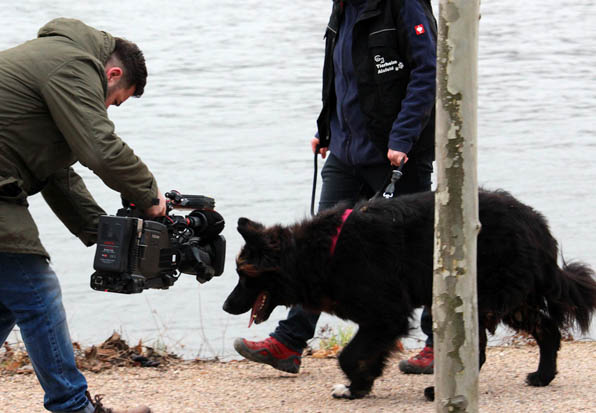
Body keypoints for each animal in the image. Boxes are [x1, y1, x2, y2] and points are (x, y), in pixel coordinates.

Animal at [224, 190, 596, 400]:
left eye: (243, 276)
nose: (226, 306)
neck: (316, 253)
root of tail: (535, 222)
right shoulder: (378, 320)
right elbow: (365, 354)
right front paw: (361, 386)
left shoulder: (385, 315)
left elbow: (349, 354)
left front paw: (354, 385)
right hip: (501, 298)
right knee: (545, 330)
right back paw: (542, 376)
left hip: (486, 295)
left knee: (485, 346)